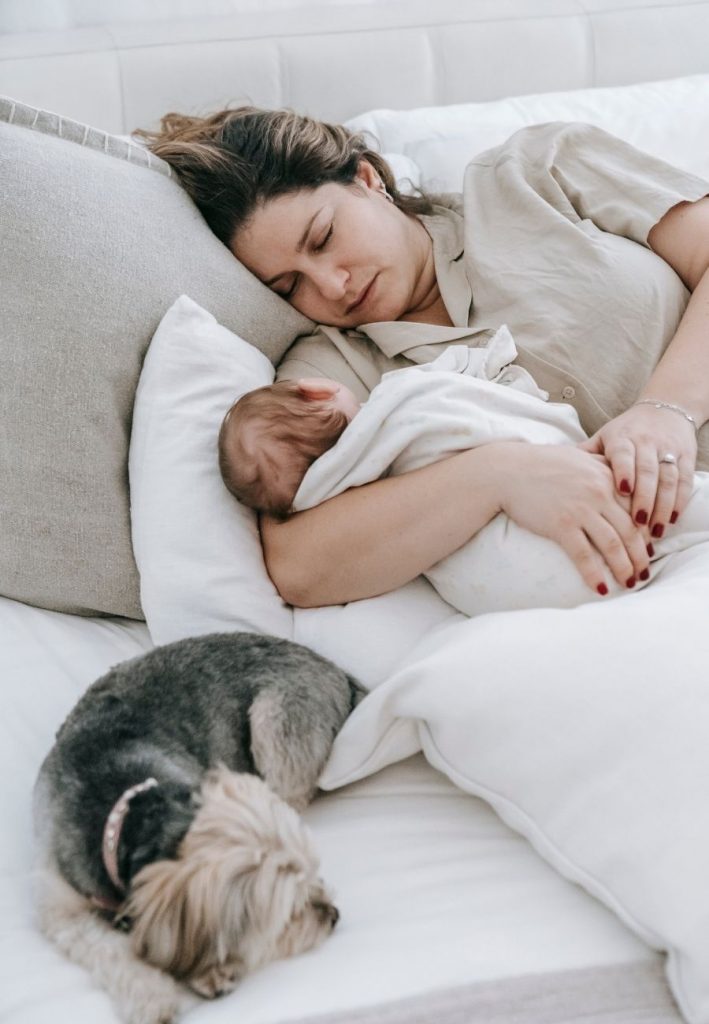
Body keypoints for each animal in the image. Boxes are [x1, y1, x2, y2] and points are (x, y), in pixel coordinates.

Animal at [32, 630, 360, 1024]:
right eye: (285, 909)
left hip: (274, 723)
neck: (129, 814)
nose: (334, 914)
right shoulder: (59, 908)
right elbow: (107, 948)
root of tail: (336, 669)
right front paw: (151, 996)